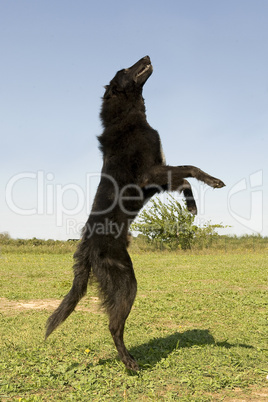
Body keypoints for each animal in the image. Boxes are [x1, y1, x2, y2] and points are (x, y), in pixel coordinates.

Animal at [45, 55, 224, 370]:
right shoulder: (150, 173)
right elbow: (191, 168)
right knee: (113, 325)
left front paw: (191, 206)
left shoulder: (157, 179)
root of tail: (86, 245)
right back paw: (130, 363)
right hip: (126, 281)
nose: (148, 56)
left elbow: (185, 180)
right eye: (125, 70)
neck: (128, 119)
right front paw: (214, 182)